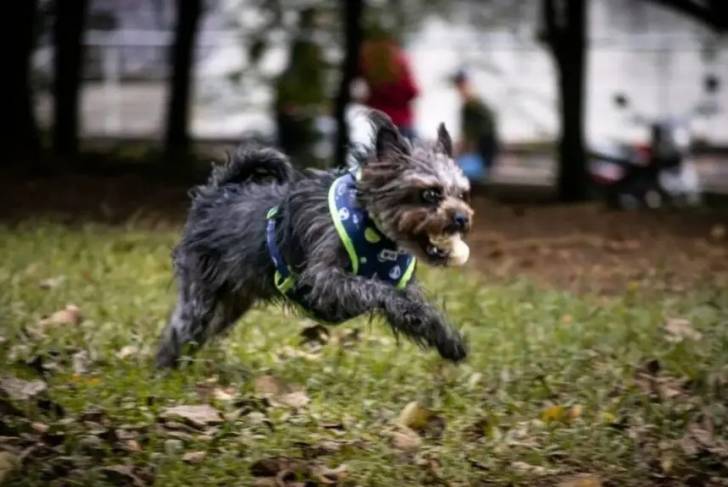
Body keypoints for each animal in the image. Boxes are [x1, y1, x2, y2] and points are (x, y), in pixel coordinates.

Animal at [155, 111, 472, 370]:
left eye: (462, 194)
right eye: (429, 194)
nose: (463, 218)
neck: (373, 227)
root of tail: (216, 194)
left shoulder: (400, 285)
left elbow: (421, 310)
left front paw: (447, 340)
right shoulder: (324, 279)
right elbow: (377, 289)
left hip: (232, 303)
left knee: (202, 331)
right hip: (201, 297)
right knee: (180, 330)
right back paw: (166, 371)